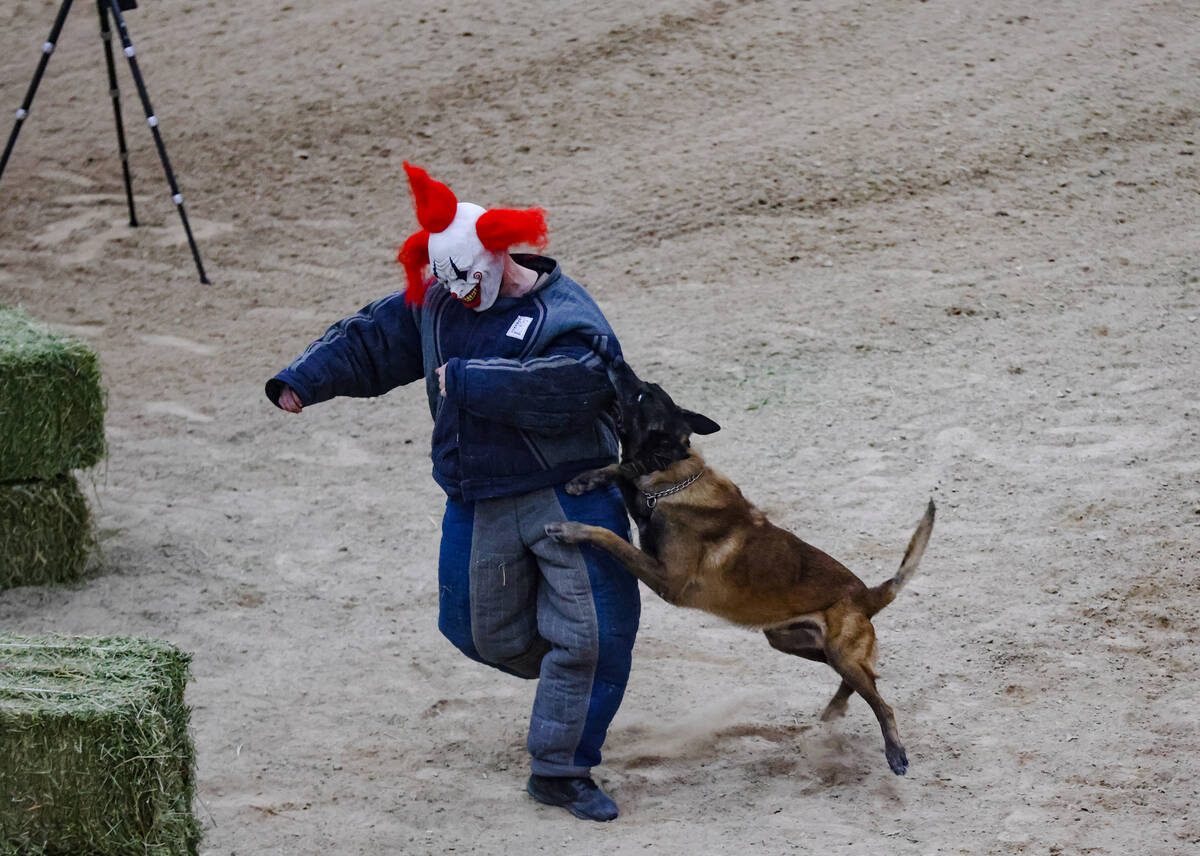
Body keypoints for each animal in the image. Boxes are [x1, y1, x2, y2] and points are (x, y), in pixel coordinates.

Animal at [547, 355, 936, 773]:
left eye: (640, 394)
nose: (613, 358)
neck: (673, 481)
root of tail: (867, 595)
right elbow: (622, 472)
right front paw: (587, 479)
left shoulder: (668, 580)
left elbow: (611, 536)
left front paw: (571, 529)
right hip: (792, 641)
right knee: (863, 679)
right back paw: (834, 709)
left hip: (838, 653)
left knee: (883, 703)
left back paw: (894, 750)